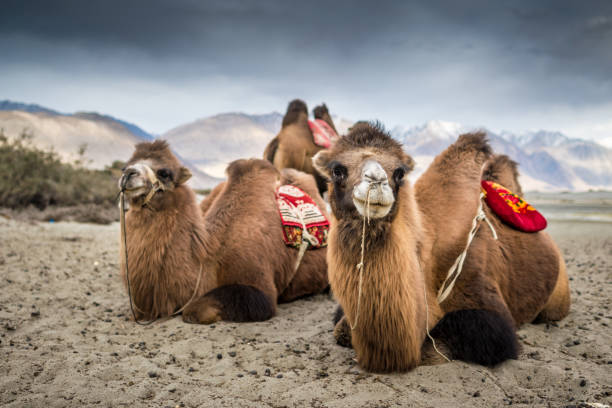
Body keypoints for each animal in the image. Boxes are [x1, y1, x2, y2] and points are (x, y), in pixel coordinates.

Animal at [119, 140, 330, 326]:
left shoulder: (259, 288)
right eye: (125, 166)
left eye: (165, 173)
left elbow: (194, 311)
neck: (209, 259)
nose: (128, 174)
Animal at [314, 122, 572, 372]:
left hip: (557, 296)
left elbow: (435, 347)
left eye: (399, 172)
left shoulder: (483, 300)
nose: (376, 182)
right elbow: (340, 329)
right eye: (337, 170)